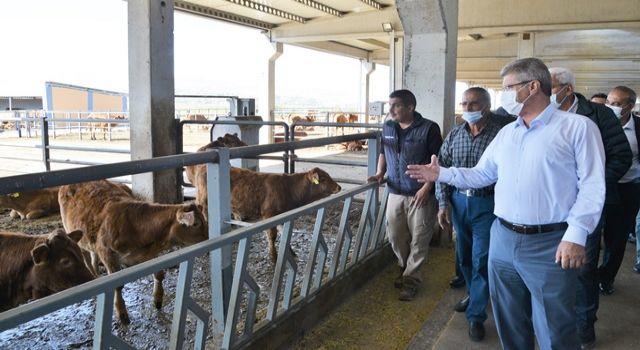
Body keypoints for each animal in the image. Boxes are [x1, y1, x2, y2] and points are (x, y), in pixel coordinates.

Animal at [59, 180, 206, 326]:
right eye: (195, 224)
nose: (207, 237)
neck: (133, 225)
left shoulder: (148, 254)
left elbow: (159, 274)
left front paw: (158, 299)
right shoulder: (107, 254)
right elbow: (118, 286)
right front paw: (122, 313)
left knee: (93, 256)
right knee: (86, 258)